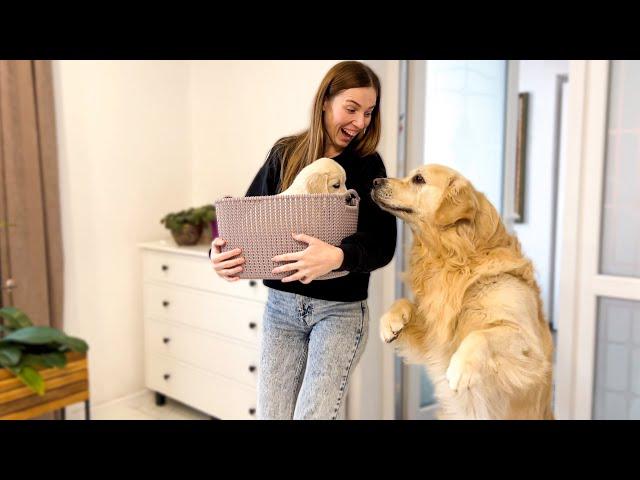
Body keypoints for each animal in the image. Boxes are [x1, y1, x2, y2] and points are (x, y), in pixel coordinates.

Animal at [372, 163, 552, 418]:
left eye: (418, 179)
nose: (375, 181)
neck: (458, 260)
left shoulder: (529, 346)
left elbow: (480, 335)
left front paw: (460, 368)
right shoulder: (434, 333)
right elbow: (405, 302)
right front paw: (390, 321)